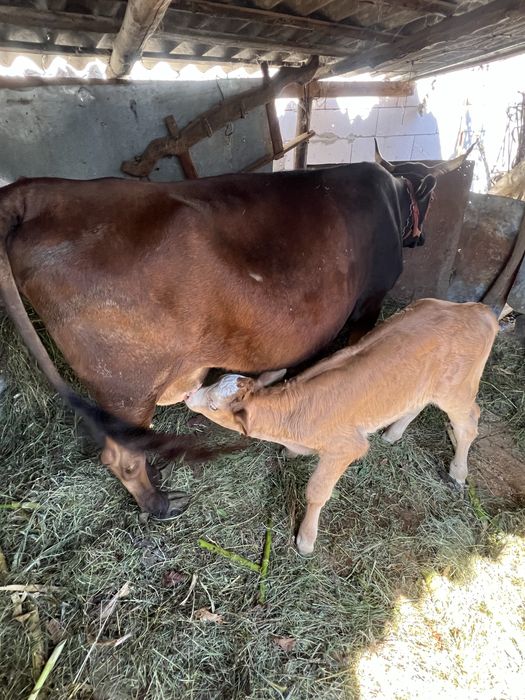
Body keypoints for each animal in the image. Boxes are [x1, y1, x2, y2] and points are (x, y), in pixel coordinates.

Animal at [0, 145, 471, 520]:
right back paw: (161, 505)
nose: (421, 239)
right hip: (126, 386)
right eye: (429, 197)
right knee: (120, 455)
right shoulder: (369, 303)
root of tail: (38, 190)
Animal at [184, 299, 499, 554]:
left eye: (214, 405)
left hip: (456, 391)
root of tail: (476, 309)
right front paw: (291, 454)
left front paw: (306, 540)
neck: (293, 415)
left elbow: (317, 492)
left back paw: (457, 473)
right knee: (416, 405)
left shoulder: (346, 448)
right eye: (214, 381)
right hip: (423, 386)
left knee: (469, 424)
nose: (188, 395)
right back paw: (393, 434)